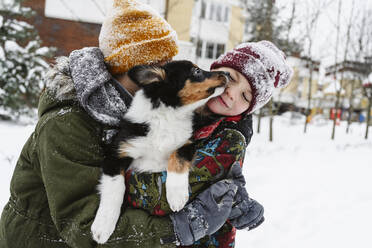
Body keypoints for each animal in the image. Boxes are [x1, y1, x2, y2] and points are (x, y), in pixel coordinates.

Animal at [91, 60, 228, 244]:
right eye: (196, 71)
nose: (227, 74)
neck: (168, 116)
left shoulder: (187, 143)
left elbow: (177, 158)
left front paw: (176, 195)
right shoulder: (117, 154)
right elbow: (115, 187)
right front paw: (102, 227)